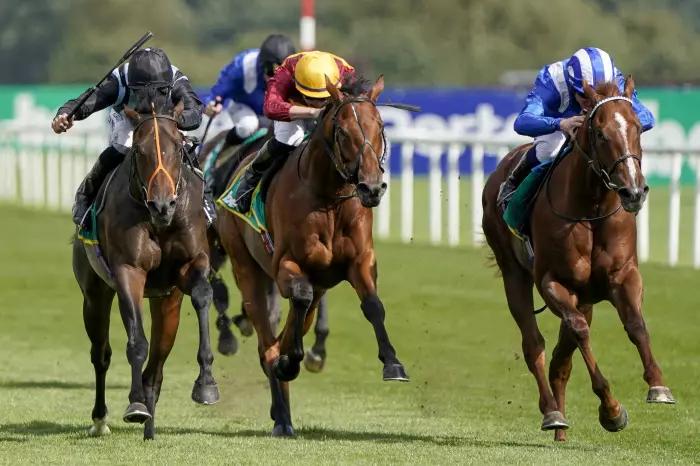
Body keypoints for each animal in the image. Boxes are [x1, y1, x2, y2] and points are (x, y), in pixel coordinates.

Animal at [72, 100, 217, 438]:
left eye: (178, 146)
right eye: (139, 150)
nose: (162, 205)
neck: (159, 223)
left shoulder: (191, 265)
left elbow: (203, 295)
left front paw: (206, 382)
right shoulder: (129, 271)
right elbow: (136, 342)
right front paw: (135, 405)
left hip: (167, 304)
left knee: (157, 368)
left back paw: (150, 429)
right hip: (94, 295)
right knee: (101, 354)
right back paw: (101, 420)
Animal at [216, 74, 408, 436]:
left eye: (380, 127)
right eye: (343, 131)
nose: (372, 187)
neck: (329, 197)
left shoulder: (360, 261)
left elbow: (373, 305)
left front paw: (393, 363)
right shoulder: (285, 266)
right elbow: (297, 302)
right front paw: (290, 362)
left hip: (318, 286)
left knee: (288, 330)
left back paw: (284, 405)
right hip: (246, 268)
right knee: (267, 342)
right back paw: (282, 406)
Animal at [484, 79, 676, 440]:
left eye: (638, 127)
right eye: (600, 133)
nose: (634, 192)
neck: (593, 207)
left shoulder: (623, 276)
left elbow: (636, 325)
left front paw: (658, 386)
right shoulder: (553, 282)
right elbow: (580, 332)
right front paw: (612, 410)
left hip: (584, 297)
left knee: (561, 359)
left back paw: (560, 428)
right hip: (514, 273)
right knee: (534, 344)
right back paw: (553, 413)